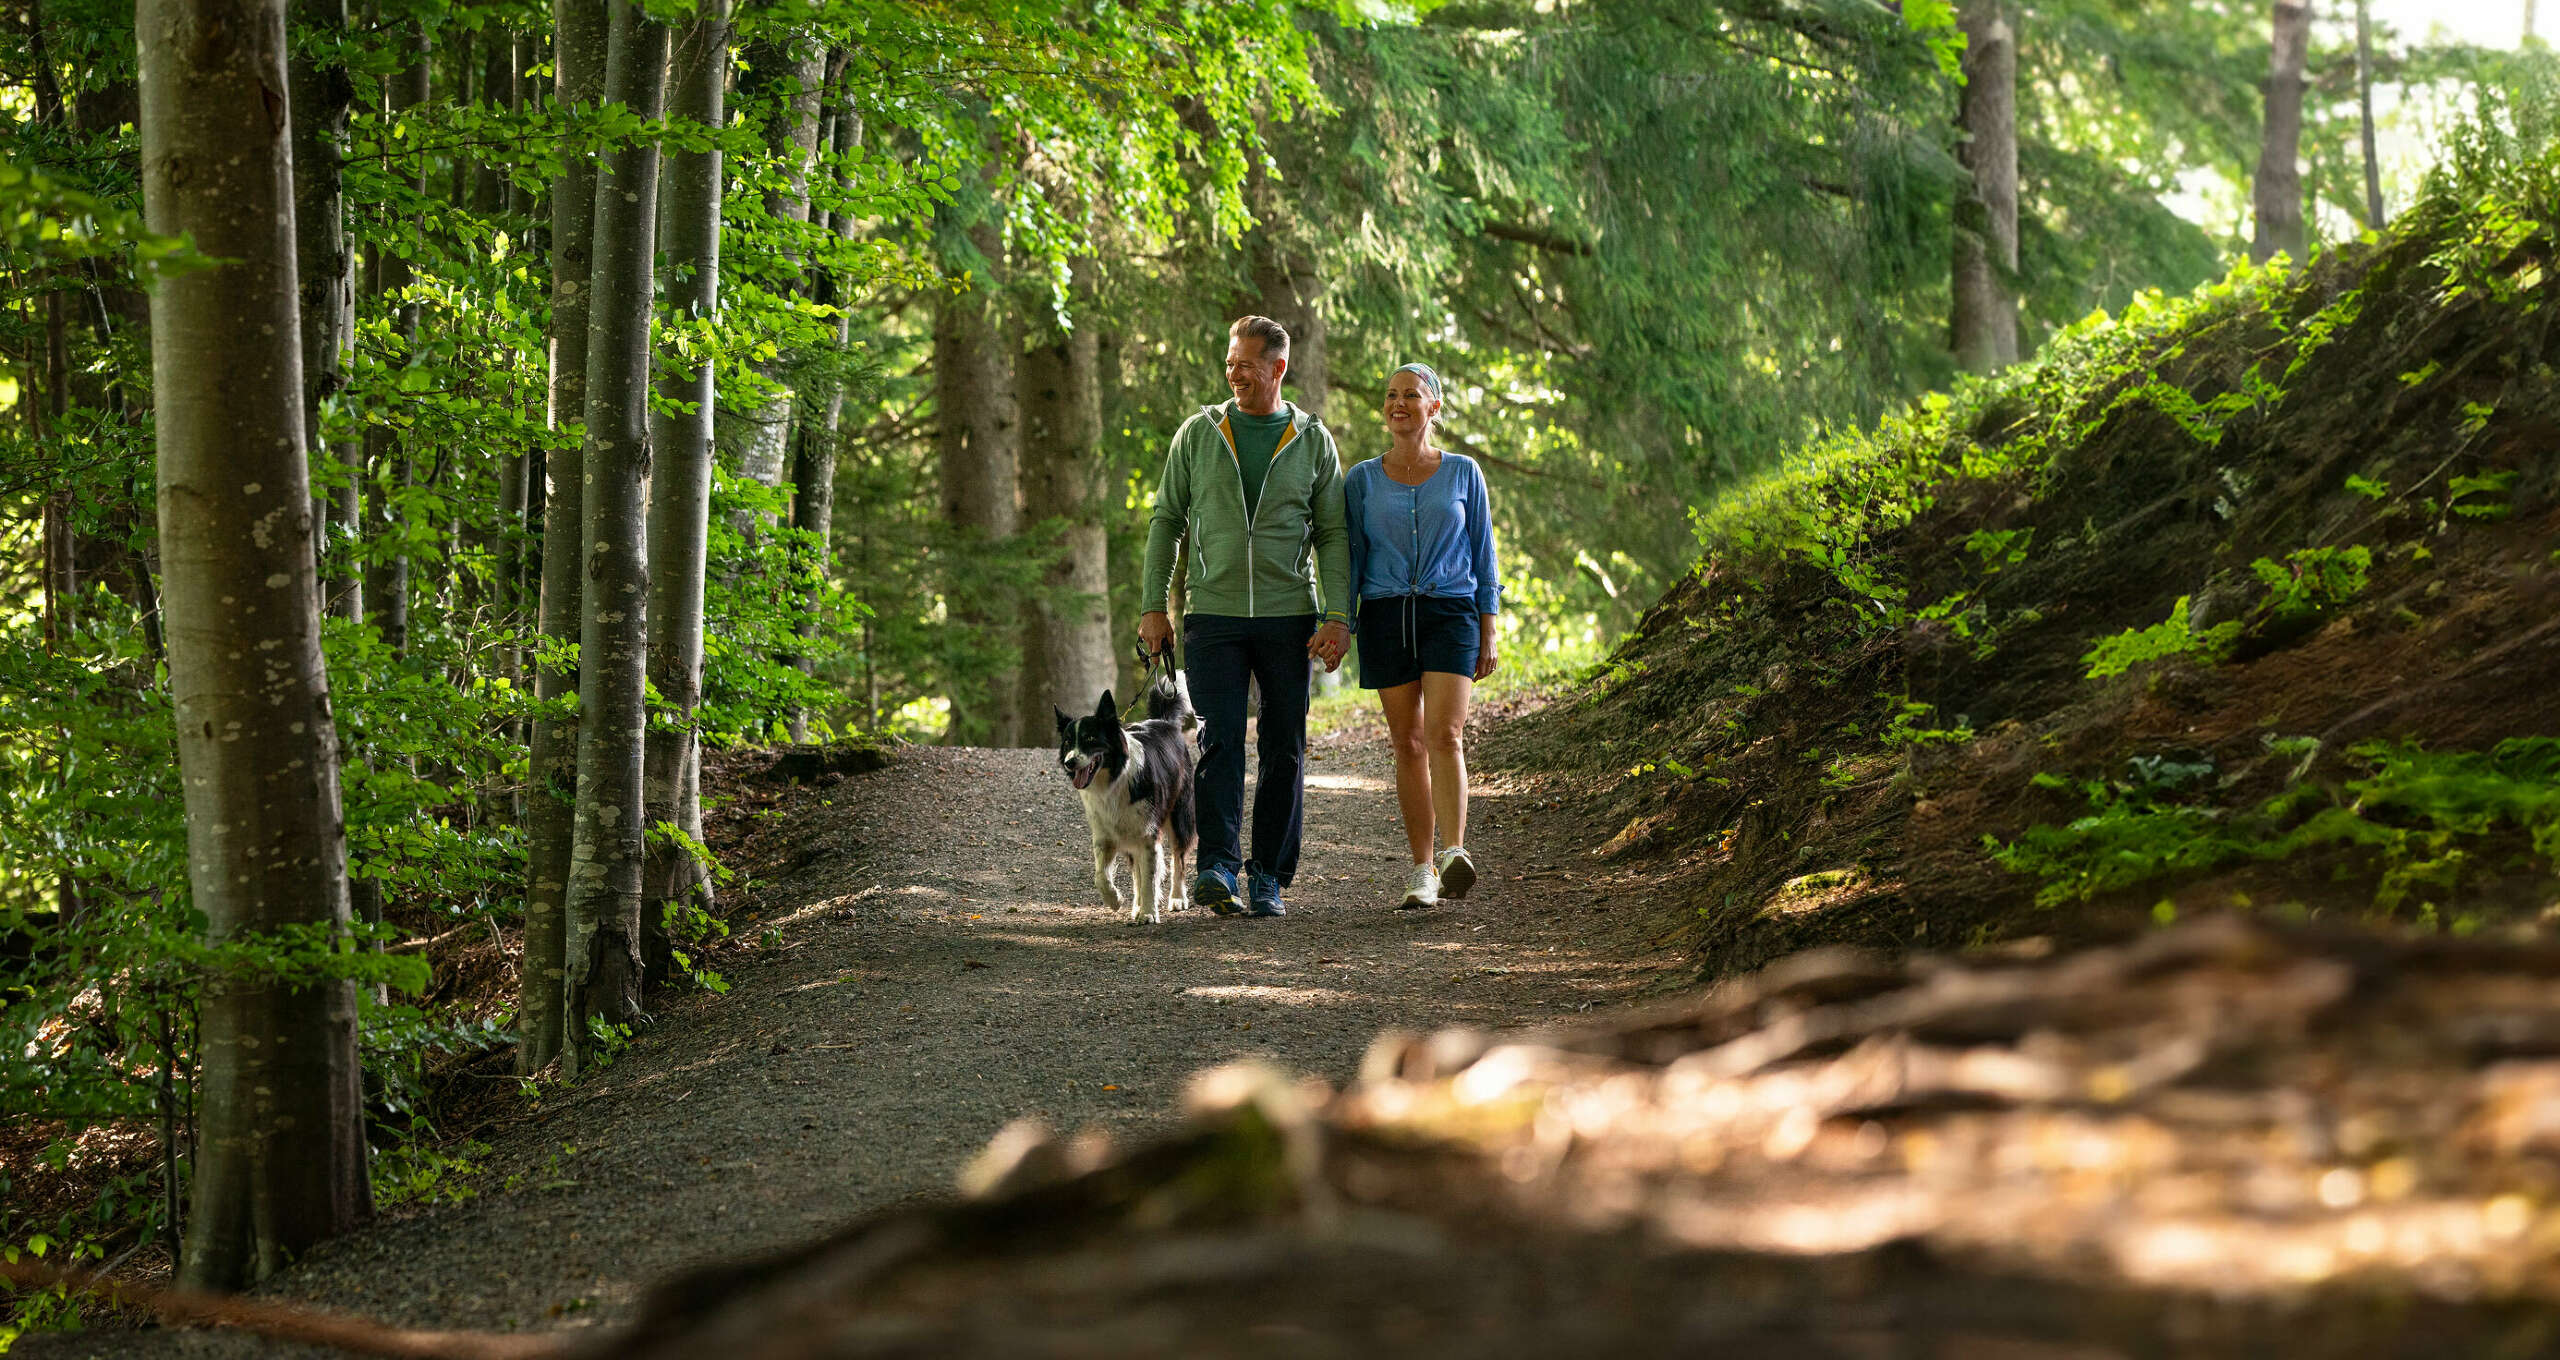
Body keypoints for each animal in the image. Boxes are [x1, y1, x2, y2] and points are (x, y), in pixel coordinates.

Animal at [1049, 671, 1198, 927]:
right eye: (1068, 742)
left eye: (1090, 738)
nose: (1069, 762)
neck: (1113, 780)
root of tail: (1164, 722)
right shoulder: (1105, 835)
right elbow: (1101, 875)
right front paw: (1115, 900)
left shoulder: (1147, 835)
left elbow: (1150, 876)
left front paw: (1148, 912)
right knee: (1138, 871)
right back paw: (1136, 906)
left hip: (1178, 816)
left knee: (1178, 859)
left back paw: (1177, 898)